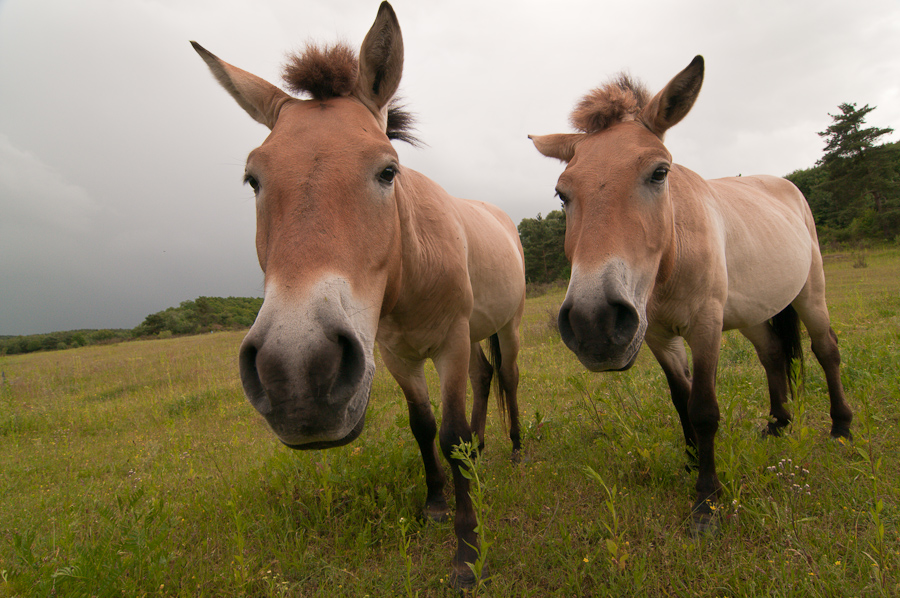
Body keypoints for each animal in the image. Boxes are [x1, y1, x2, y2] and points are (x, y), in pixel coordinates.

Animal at [192, 2, 525, 588]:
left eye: (388, 170)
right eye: (253, 179)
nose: (296, 375)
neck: (412, 270)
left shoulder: (449, 343)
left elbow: (450, 433)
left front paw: (467, 553)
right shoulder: (393, 354)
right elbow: (424, 427)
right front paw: (436, 504)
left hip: (502, 326)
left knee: (506, 377)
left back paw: (516, 449)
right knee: (486, 379)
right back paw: (483, 450)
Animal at [529, 56, 853, 532]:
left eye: (659, 173)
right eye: (562, 192)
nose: (593, 322)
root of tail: (785, 185)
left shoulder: (705, 326)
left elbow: (703, 408)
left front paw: (706, 500)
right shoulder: (658, 336)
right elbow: (680, 400)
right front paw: (691, 461)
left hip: (811, 292)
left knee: (826, 350)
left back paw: (842, 428)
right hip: (754, 313)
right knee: (773, 354)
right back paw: (778, 424)